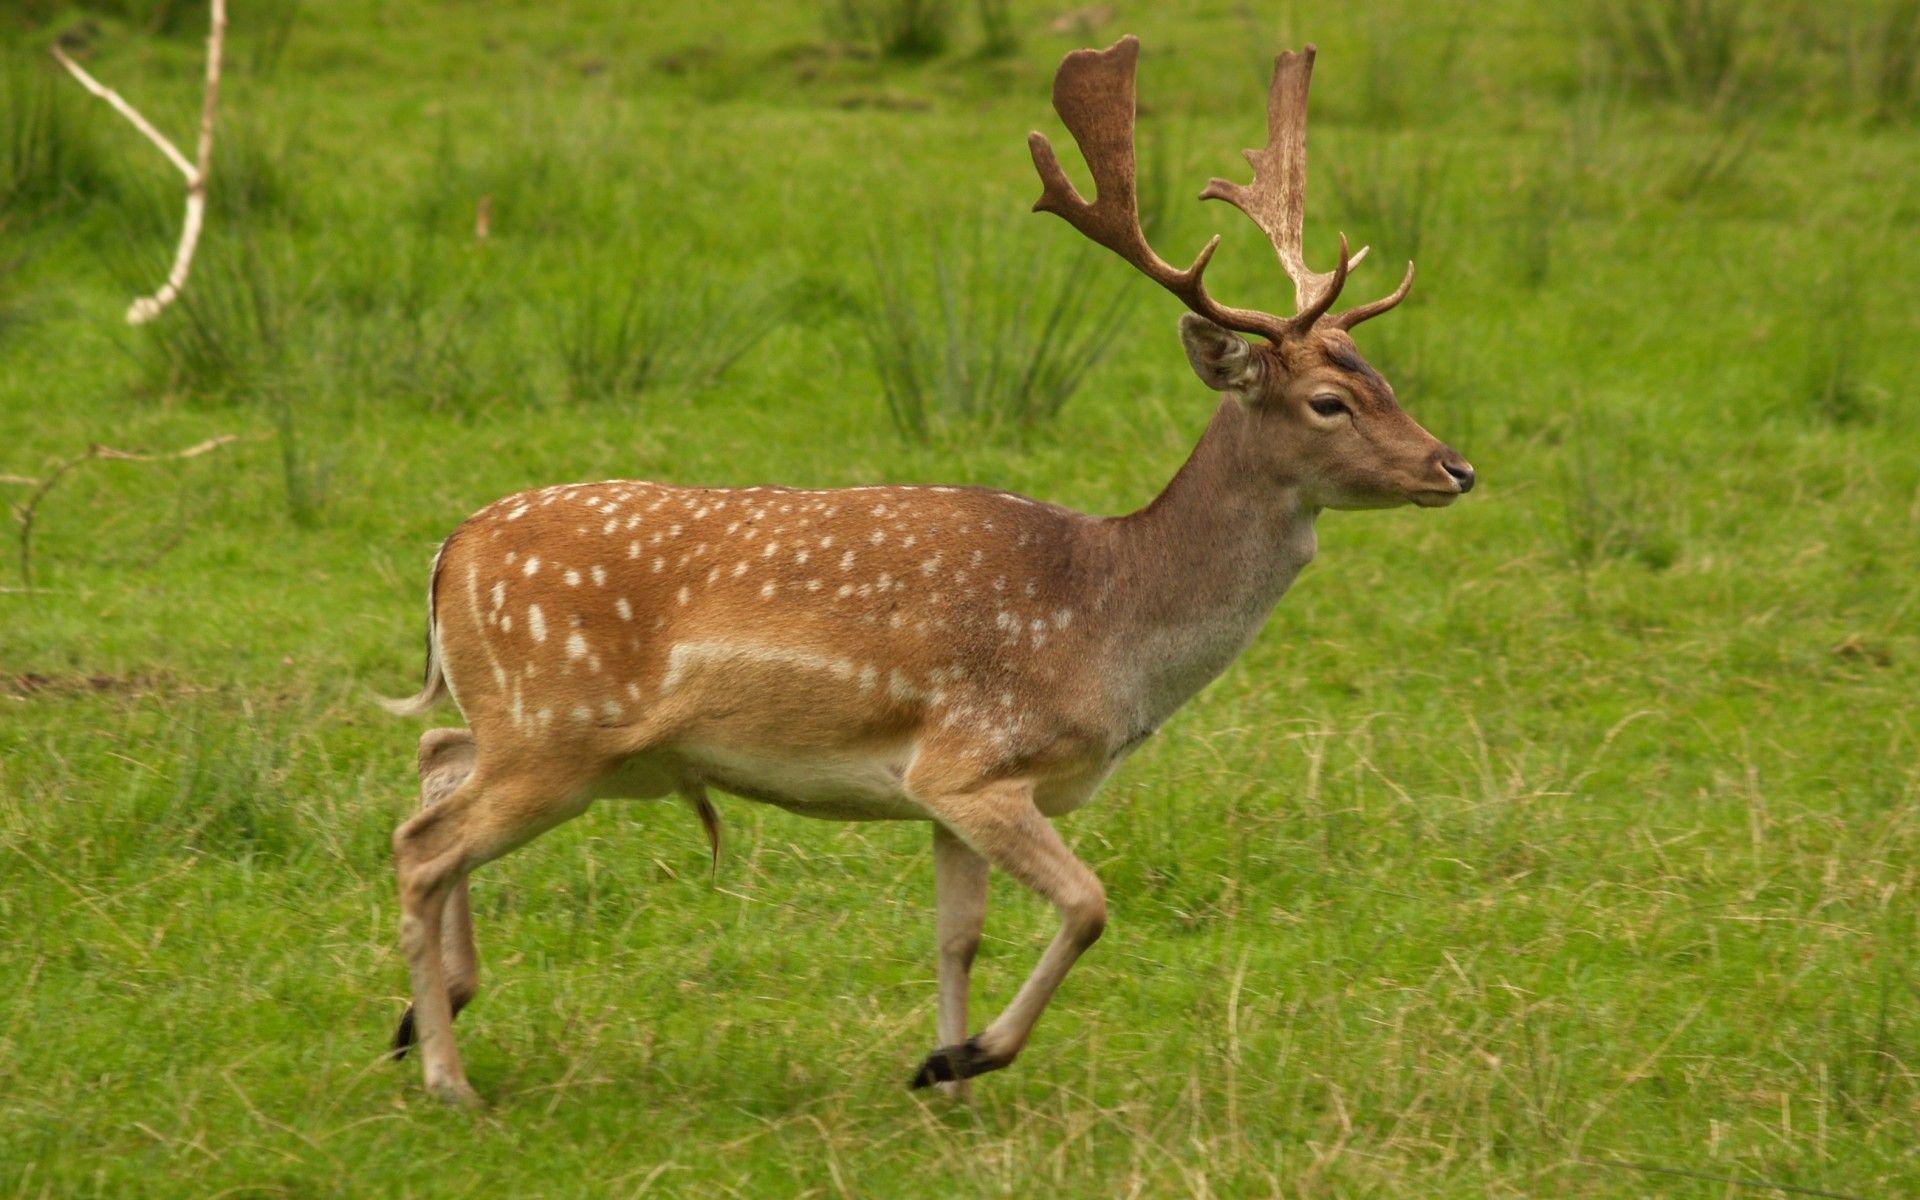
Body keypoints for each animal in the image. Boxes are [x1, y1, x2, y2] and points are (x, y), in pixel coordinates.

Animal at [383, 35, 1474, 1108]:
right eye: (1330, 401)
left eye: (1387, 379)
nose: (1455, 467)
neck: (1110, 627)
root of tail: (449, 549)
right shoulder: (973, 759)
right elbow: (1089, 905)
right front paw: (967, 1058)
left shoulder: (947, 792)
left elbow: (959, 936)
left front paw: (943, 1081)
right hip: (555, 732)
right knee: (422, 846)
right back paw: (446, 1077)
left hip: (550, 735)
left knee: (436, 757)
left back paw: (420, 1017)